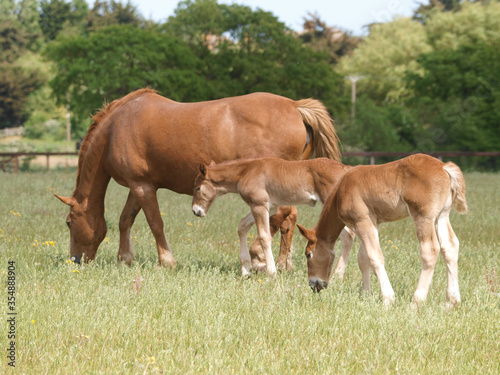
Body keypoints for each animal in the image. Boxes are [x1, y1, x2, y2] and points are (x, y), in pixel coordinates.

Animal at [189, 157, 354, 278]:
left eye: (197, 188)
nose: (196, 211)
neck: (246, 171)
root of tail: (346, 169)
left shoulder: (259, 205)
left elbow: (264, 236)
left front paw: (272, 272)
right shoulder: (269, 206)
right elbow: (242, 226)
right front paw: (245, 271)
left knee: (349, 235)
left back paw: (337, 275)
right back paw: (338, 276)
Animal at [296, 154, 464, 306]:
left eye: (308, 254)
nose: (313, 284)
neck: (341, 190)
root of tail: (443, 166)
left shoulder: (362, 222)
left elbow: (374, 257)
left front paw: (388, 299)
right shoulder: (371, 224)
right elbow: (363, 259)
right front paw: (365, 295)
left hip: (424, 217)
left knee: (430, 250)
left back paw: (416, 302)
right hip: (441, 216)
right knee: (450, 246)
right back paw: (452, 301)